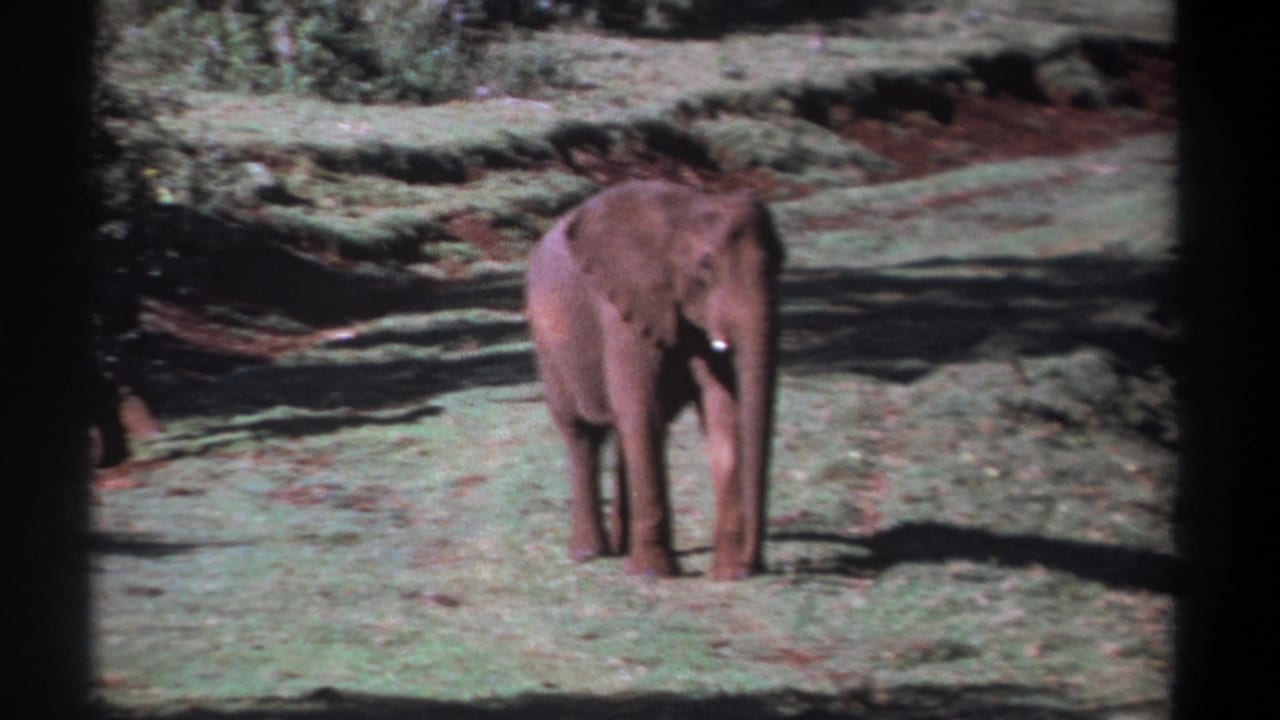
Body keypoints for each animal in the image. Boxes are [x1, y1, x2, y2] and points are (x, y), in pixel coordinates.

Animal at [524, 180, 784, 580]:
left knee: (623, 431)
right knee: (581, 434)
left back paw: (620, 548)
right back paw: (589, 553)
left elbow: (722, 410)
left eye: (780, 263)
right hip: (549, 349)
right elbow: (641, 408)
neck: (685, 209)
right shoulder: (622, 308)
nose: (752, 564)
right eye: (706, 267)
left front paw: (727, 574)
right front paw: (653, 574)